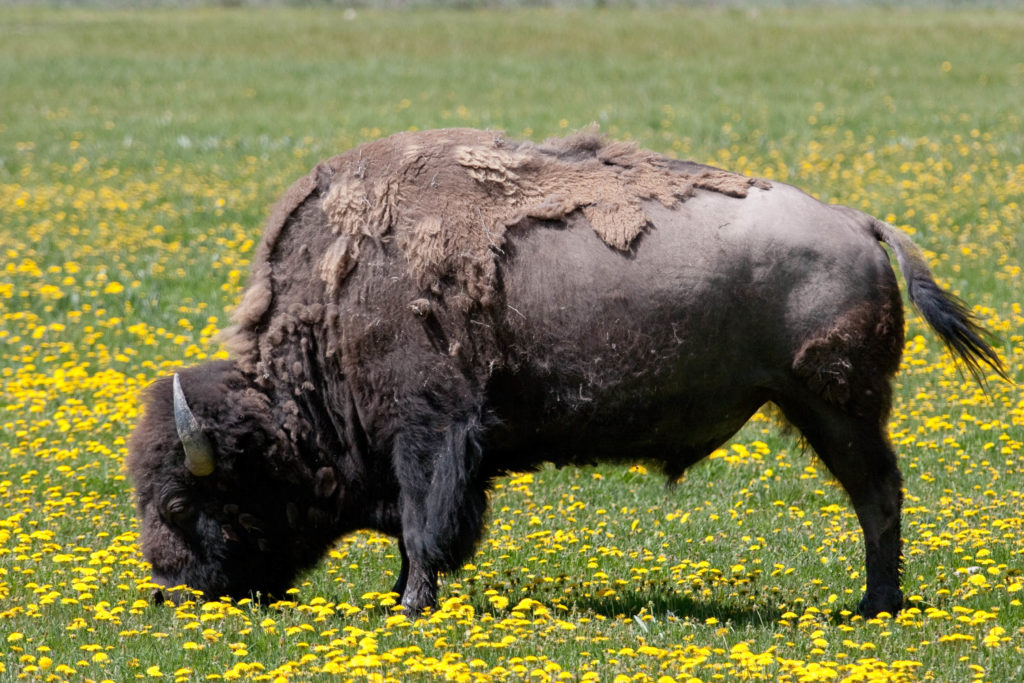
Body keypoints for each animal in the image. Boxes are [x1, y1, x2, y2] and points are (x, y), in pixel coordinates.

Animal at [125, 125, 999, 618]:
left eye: (180, 501)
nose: (168, 592)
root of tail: (859, 222)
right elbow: (414, 529)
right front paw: (404, 595)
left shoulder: (429, 435)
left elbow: (423, 524)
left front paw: (409, 605)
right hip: (827, 408)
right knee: (877, 493)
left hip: (837, 406)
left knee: (878, 494)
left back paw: (875, 604)